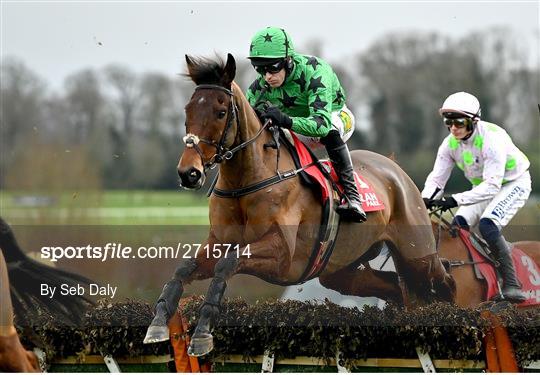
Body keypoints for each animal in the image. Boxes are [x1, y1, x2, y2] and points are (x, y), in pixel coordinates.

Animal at [143, 54, 456, 356]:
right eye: (187, 110)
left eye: (221, 112)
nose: (189, 173)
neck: (250, 180)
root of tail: (395, 169)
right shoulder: (219, 241)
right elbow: (184, 268)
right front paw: (158, 324)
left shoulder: (282, 254)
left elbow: (227, 263)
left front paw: (202, 333)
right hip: (341, 270)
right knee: (394, 288)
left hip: (417, 254)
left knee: (444, 280)